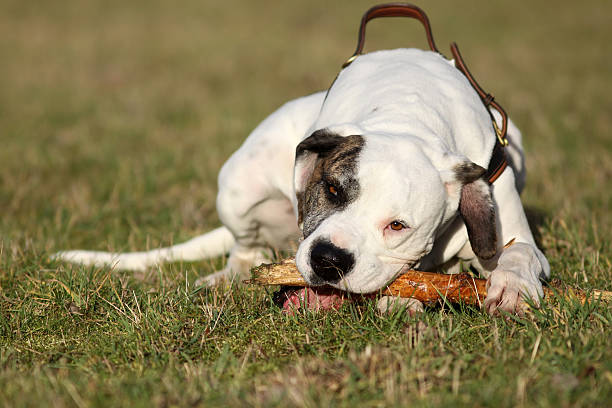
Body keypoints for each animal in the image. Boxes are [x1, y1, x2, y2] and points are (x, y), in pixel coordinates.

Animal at [55, 48, 548, 316]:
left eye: (397, 226)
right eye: (332, 189)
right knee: (243, 250)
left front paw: (512, 286)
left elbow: (520, 252)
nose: (329, 260)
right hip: (239, 186)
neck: (408, 115)